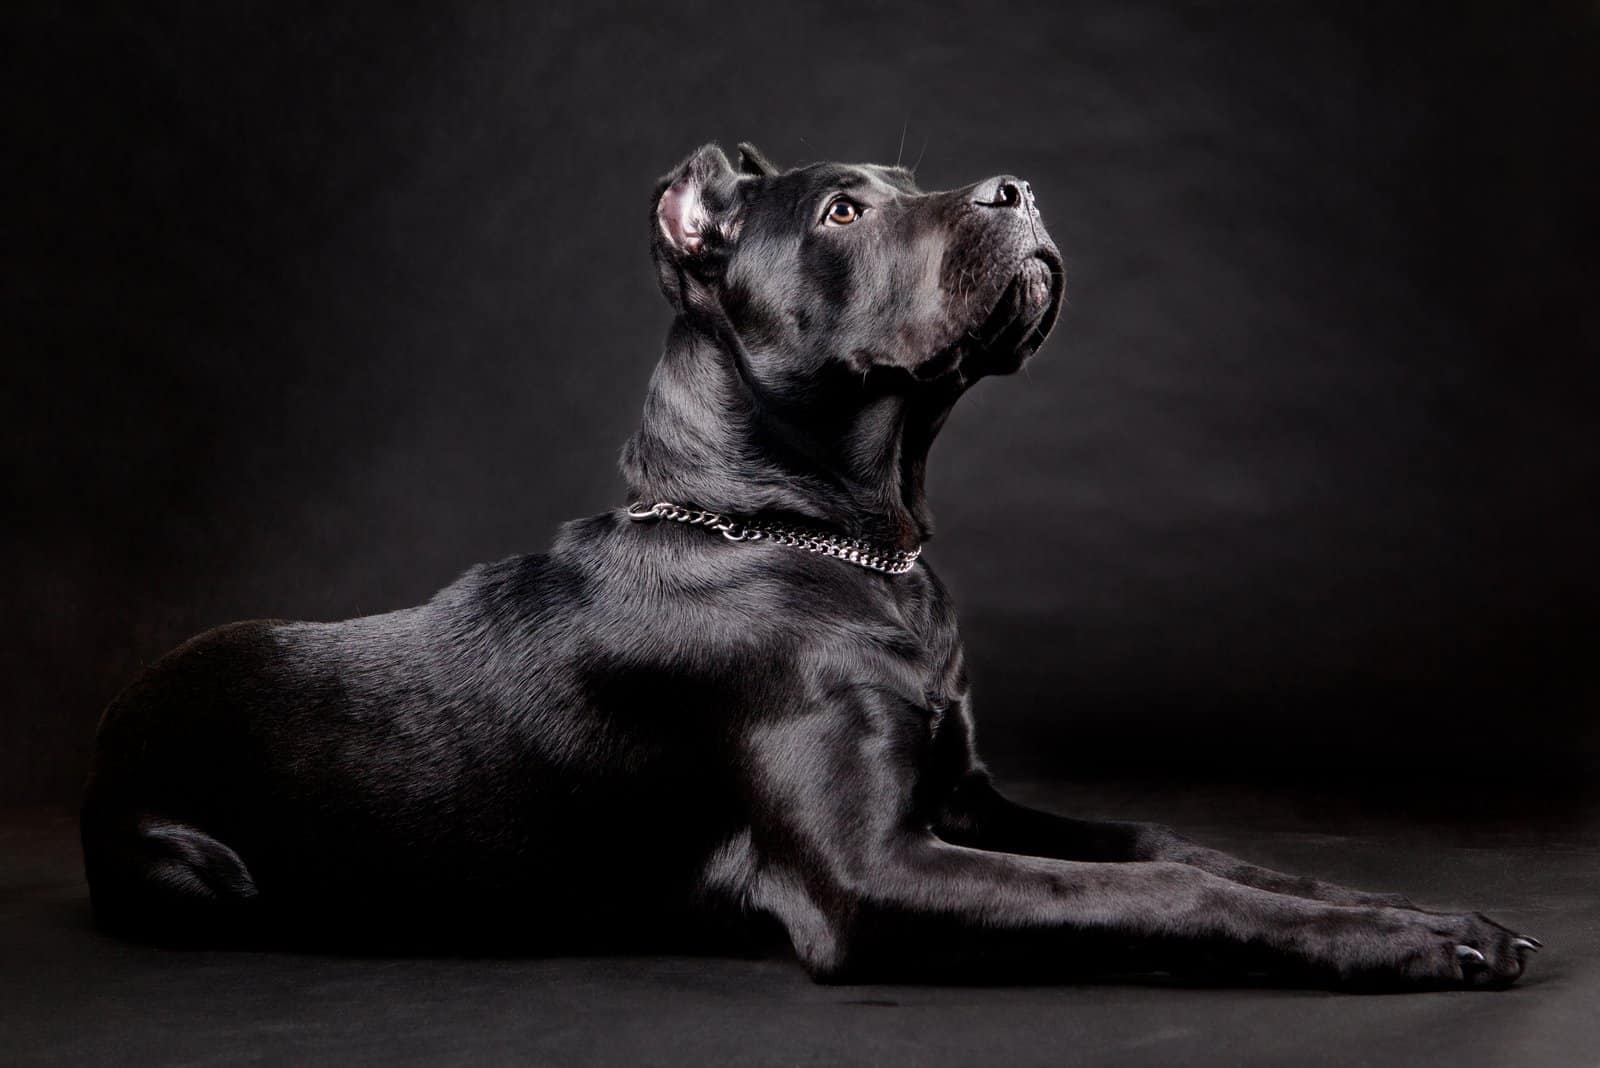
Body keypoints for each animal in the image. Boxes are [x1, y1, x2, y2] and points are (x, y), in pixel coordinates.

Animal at [84, 141, 1536, 984]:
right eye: (843, 210)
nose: (1021, 190)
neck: (831, 540)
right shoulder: (874, 873)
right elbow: (1154, 890)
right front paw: (1417, 942)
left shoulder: (967, 802)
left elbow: (1179, 848)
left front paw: (1417, 909)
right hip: (190, 870)